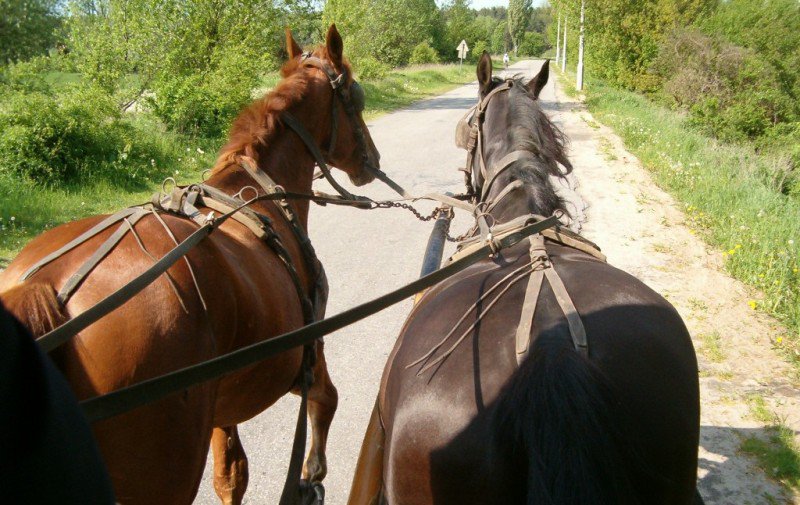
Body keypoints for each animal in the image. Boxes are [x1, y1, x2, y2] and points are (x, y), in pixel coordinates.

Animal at [0, 26, 378, 504]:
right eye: (356, 97)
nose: (372, 162)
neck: (258, 189)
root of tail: (48, 286)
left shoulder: (223, 395)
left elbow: (231, 473)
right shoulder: (307, 350)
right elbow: (325, 400)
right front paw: (311, 478)